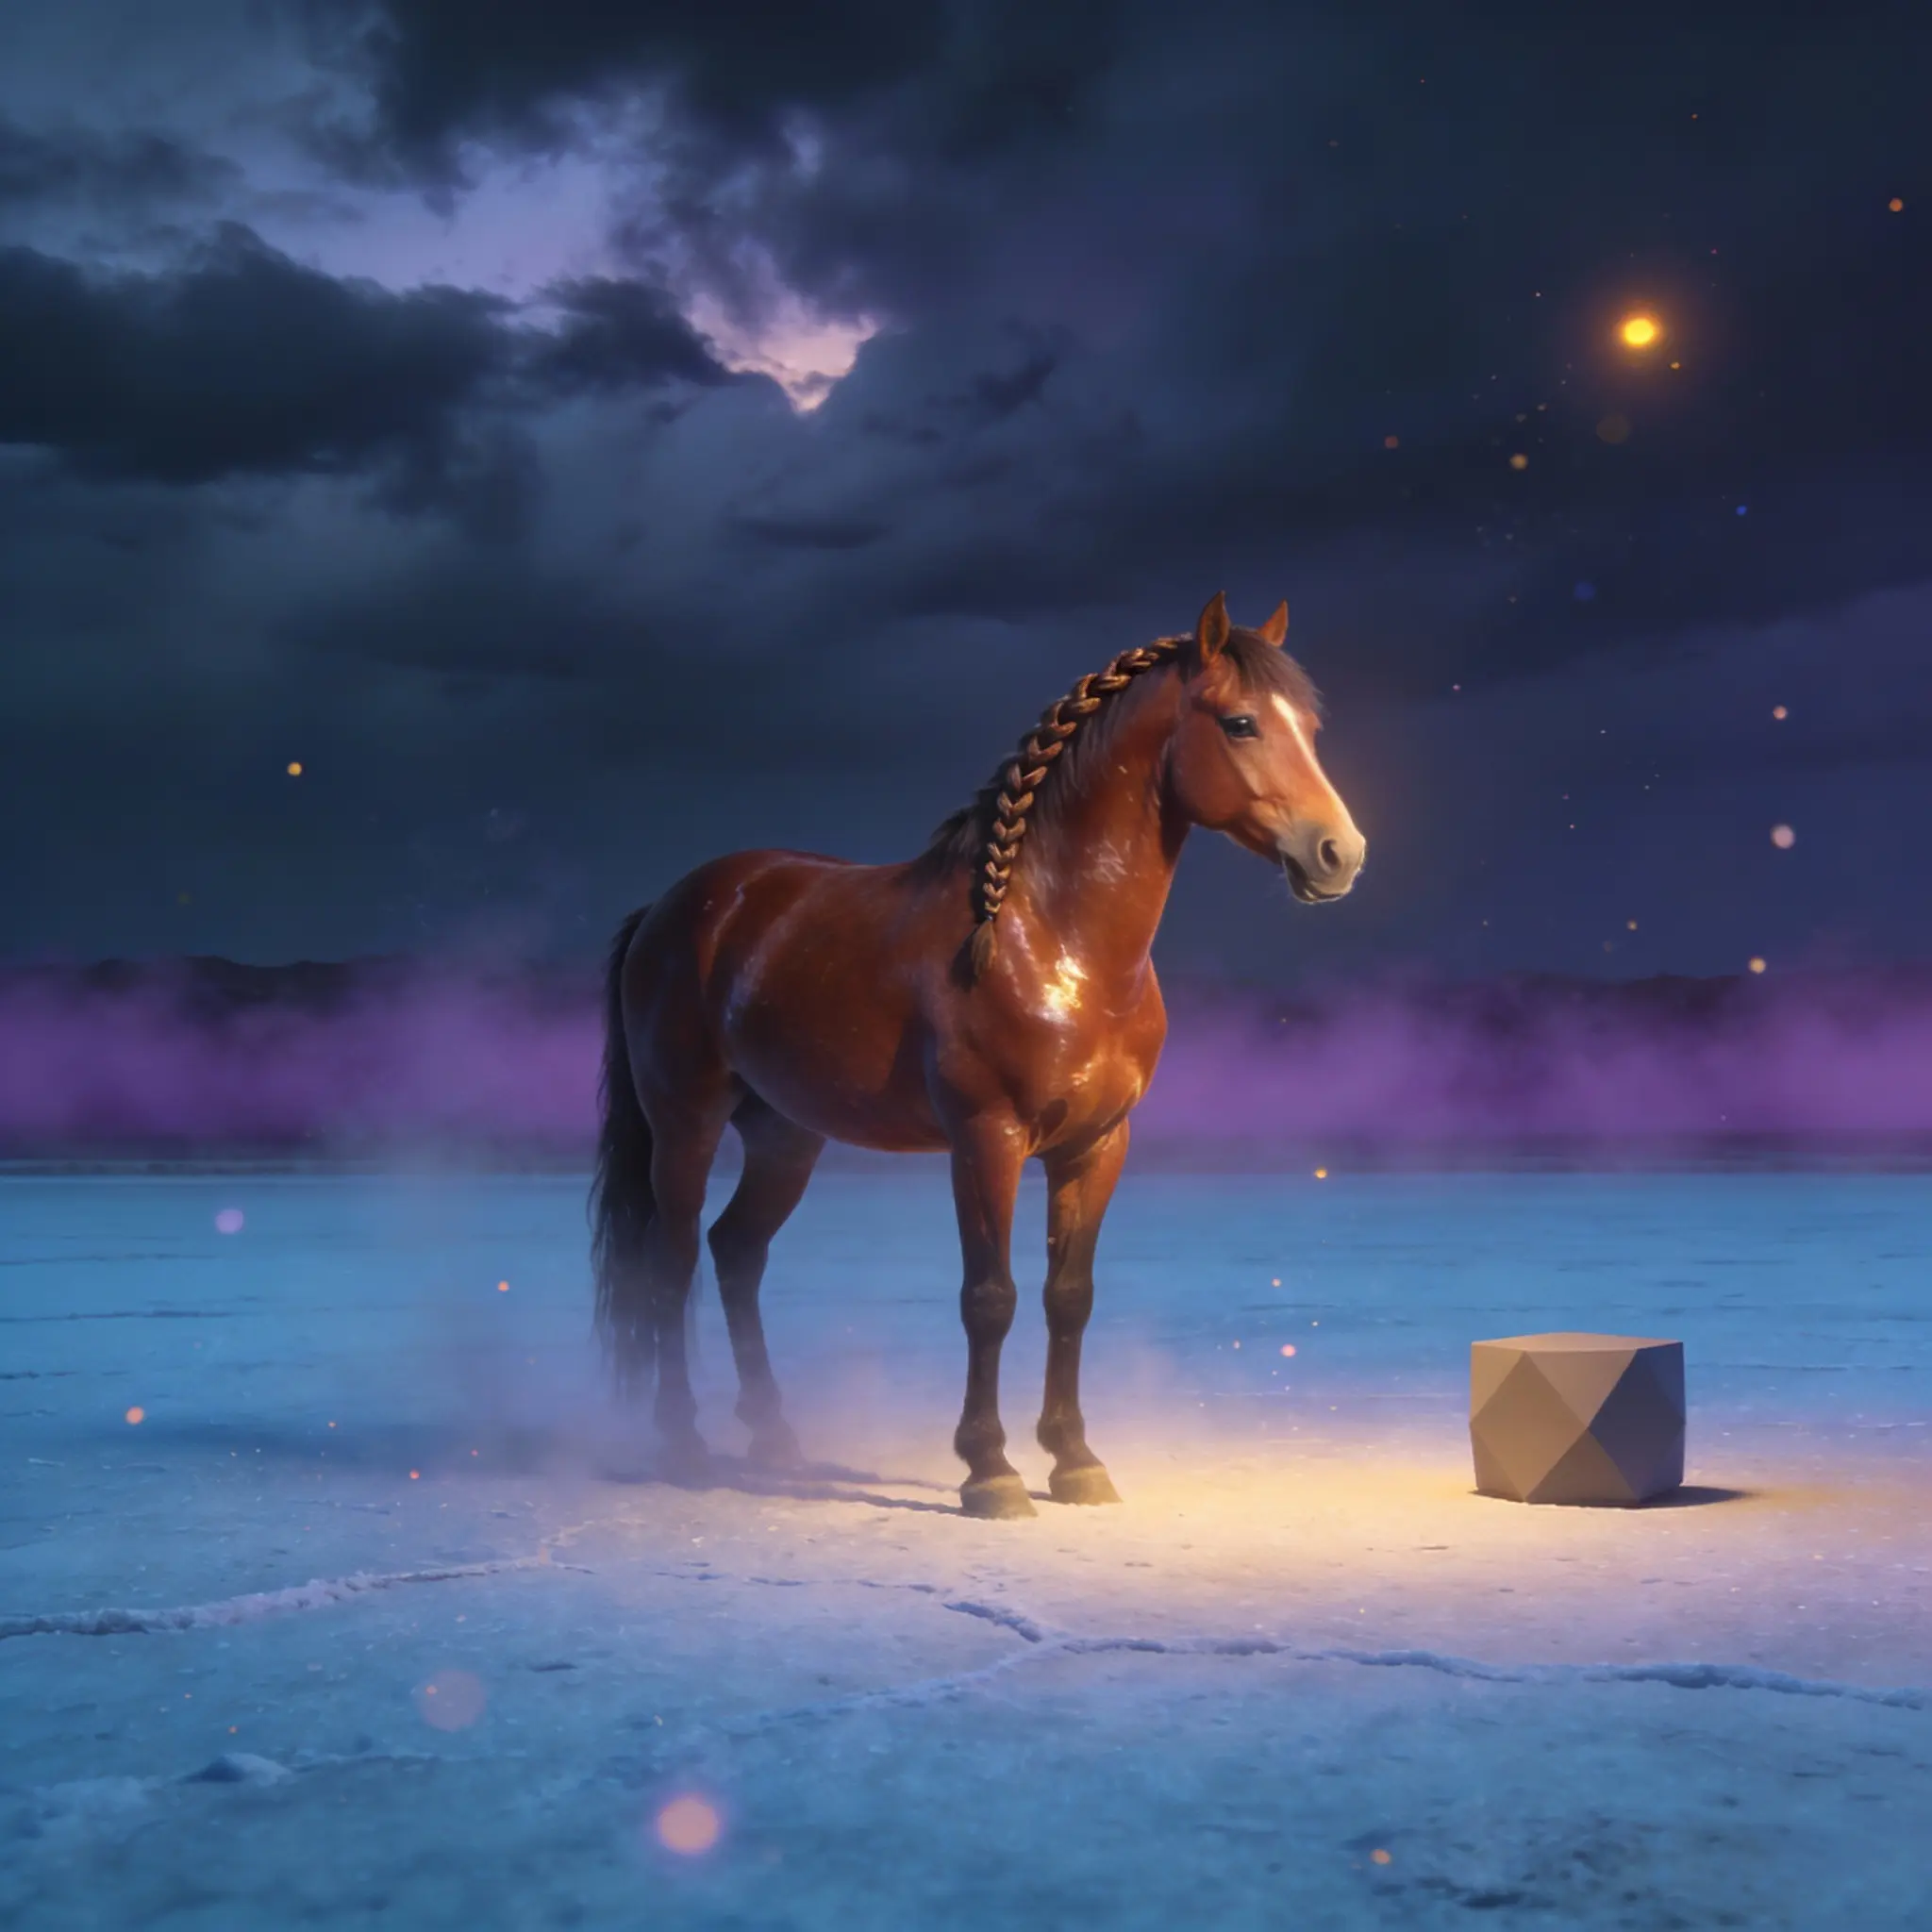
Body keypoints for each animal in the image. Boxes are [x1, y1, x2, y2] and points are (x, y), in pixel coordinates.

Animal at [590, 591, 1366, 1518]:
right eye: (1242, 722)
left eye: (1310, 728)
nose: (1340, 854)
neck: (1052, 937)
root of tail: (680, 904)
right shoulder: (985, 1140)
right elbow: (989, 1298)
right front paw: (989, 1471)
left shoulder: (1095, 1147)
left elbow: (1069, 1296)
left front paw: (1075, 1462)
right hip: (687, 1122)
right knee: (671, 1266)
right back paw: (684, 1443)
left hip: (785, 1135)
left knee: (737, 1252)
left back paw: (776, 1441)